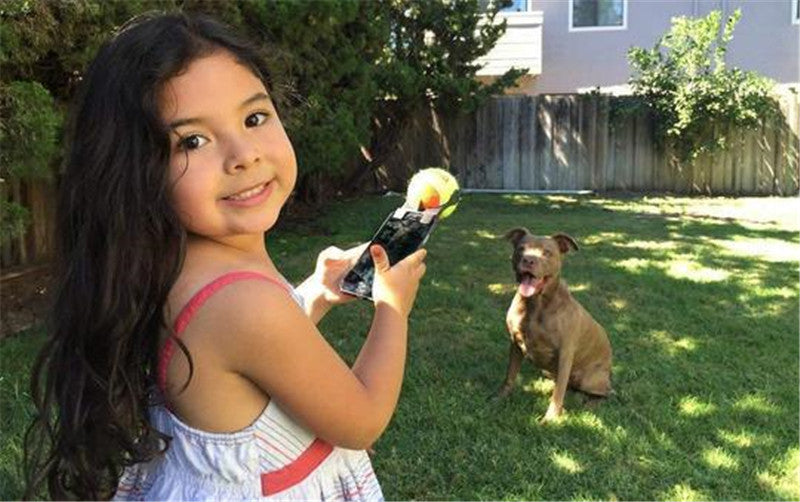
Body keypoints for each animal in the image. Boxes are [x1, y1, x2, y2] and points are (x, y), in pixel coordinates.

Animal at [496, 228, 612, 422]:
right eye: (521, 249)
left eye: (547, 253)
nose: (528, 260)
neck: (536, 305)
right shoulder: (515, 344)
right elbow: (510, 375)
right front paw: (500, 397)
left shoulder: (565, 354)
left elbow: (558, 394)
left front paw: (550, 419)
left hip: (590, 378)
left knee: (605, 393)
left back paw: (590, 402)